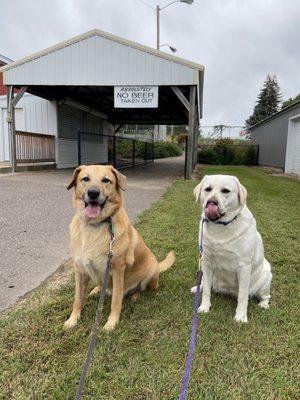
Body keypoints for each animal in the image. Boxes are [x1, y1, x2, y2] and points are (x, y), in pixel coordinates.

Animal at [64, 164, 175, 330]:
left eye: (106, 180)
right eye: (85, 179)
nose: (93, 193)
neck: (95, 226)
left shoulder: (116, 270)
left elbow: (116, 301)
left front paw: (111, 323)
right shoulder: (80, 270)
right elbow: (77, 299)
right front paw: (73, 319)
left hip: (151, 269)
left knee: (144, 288)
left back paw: (135, 295)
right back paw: (97, 289)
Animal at [192, 175, 272, 322]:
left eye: (225, 191)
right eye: (208, 189)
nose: (211, 202)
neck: (221, 226)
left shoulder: (244, 266)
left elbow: (243, 296)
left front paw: (241, 316)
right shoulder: (206, 261)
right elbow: (206, 291)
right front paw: (204, 307)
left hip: (266, 277)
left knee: (265, 296)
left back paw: (263, 304)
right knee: (205, 283)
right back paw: (197, 288)